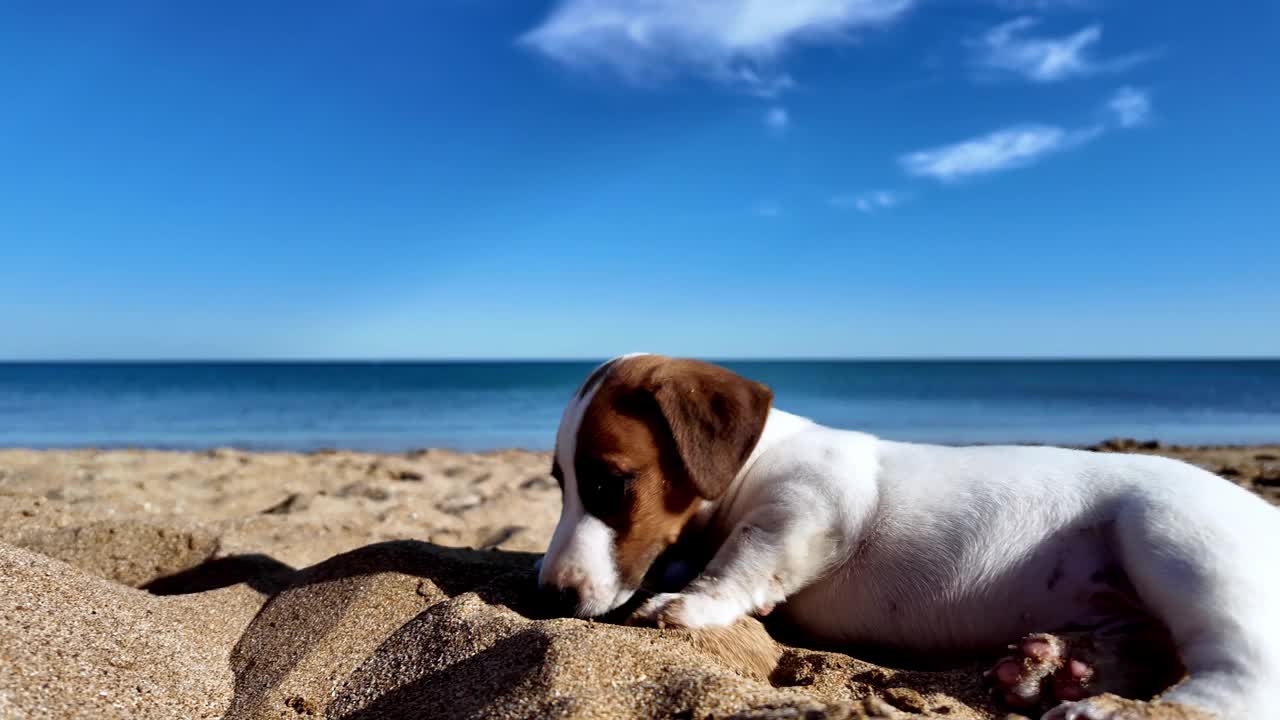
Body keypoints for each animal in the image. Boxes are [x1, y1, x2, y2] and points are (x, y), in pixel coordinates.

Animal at [535, 353, 1280, 717]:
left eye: (609, 484)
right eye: (559, 482)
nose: (547, 597)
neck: (760, 456)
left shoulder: (812, 507)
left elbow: (746, 555)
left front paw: (693, 602)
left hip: (1181, 546)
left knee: (1243, 678)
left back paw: (1106, 711)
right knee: (1150, 646)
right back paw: (1056, 670)